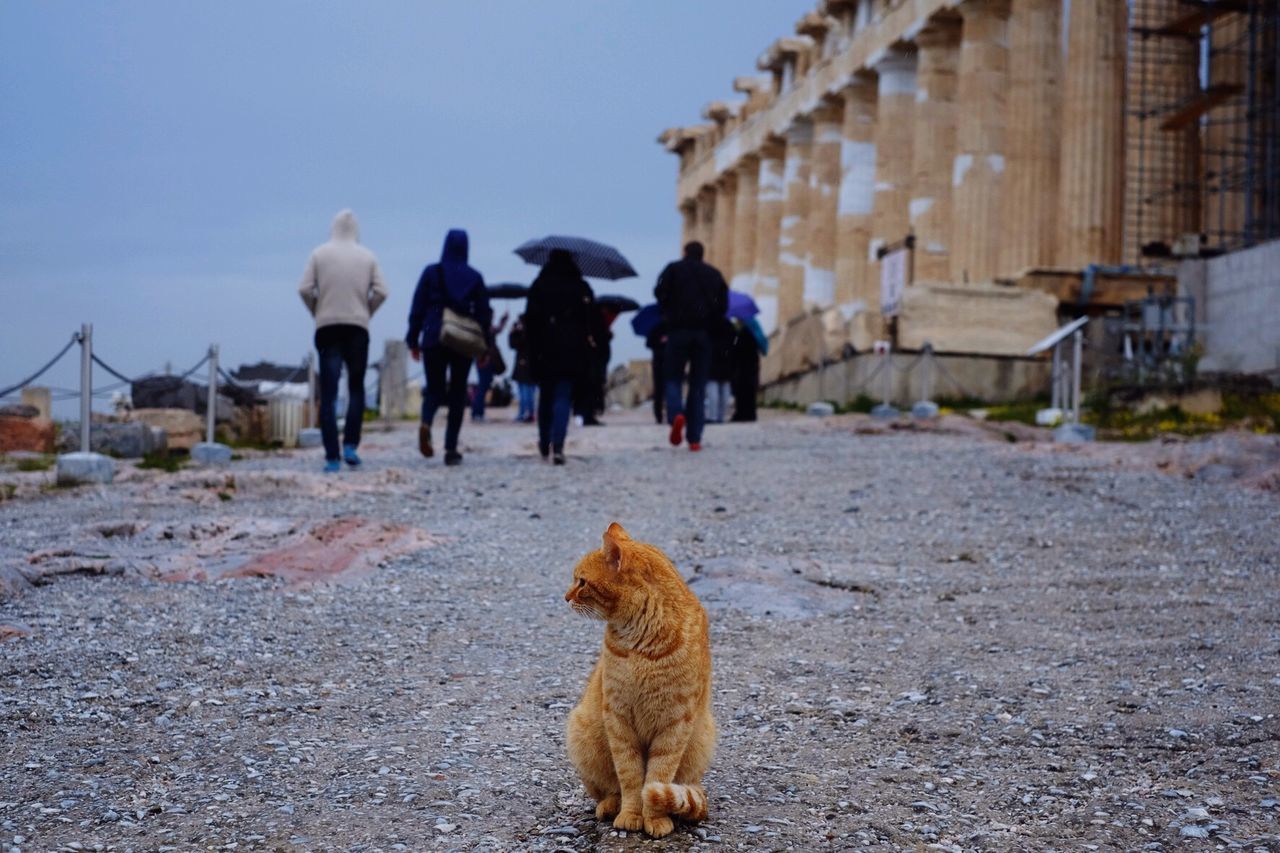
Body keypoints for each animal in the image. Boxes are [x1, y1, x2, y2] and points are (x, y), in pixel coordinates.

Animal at [565, 522, 716, 835]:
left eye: (581, 582)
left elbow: (658, 774)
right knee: (608, 790)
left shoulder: (675, 723)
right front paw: (632, 815)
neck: (642, 644)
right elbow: (631, 776)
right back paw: (611, 805)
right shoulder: (618, 717)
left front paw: (655, 817)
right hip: (582, 733)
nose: (566, 597)